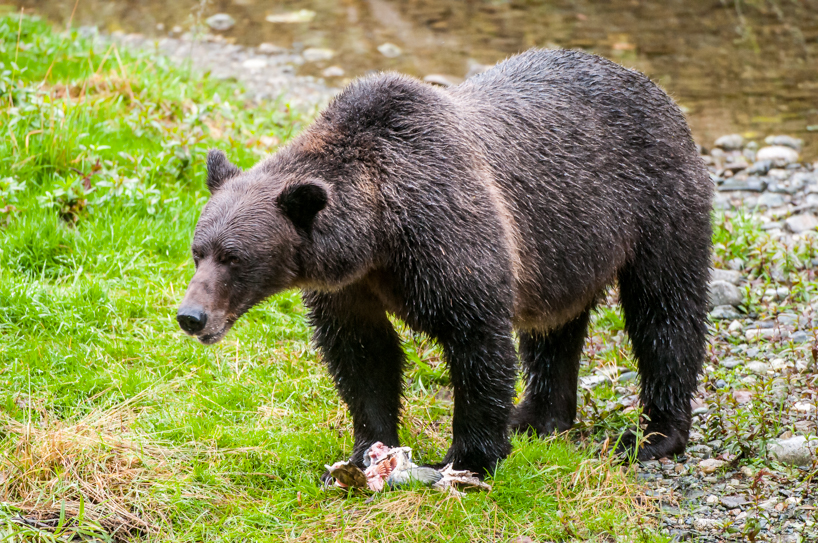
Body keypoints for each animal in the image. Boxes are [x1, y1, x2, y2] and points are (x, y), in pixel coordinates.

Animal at [177, 48, 712, 477]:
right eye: (198, 251)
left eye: (233, 257)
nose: (190, 316)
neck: (377, 233)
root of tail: (653, 87)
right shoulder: (350, 288)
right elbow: (363, 356)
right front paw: (368, 450)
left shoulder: (449, 237)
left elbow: (477, 345)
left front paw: (468, 458)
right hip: (565, 246)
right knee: (554, 330)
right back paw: (536, 416)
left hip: (655, 204)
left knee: (665, 312)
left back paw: (653, 435)